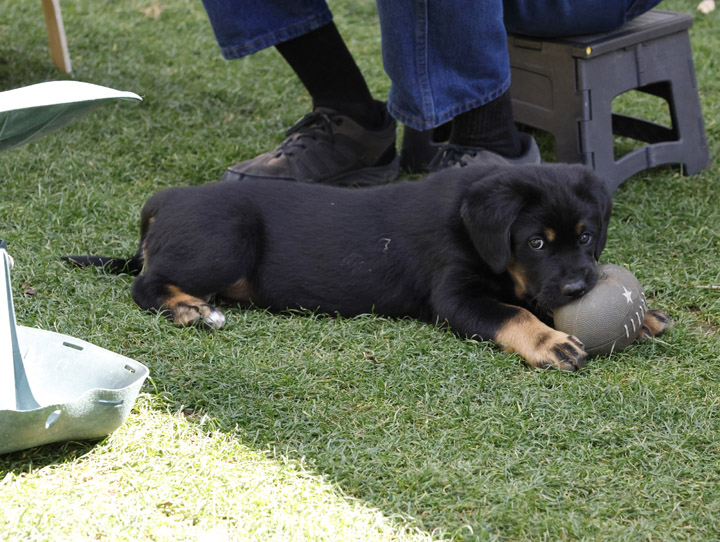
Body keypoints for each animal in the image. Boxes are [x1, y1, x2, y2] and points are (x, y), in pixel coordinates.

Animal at [66, 164, 668, 372]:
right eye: (536, 243)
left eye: (586, 236)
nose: (580, 286)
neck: (468, 224)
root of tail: (162, 200)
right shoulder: (456, 295)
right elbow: (513, 314)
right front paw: (551, 341)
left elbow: (524, 299)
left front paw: (645, 316)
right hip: (225, 240)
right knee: (145, 283)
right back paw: (190, 310)